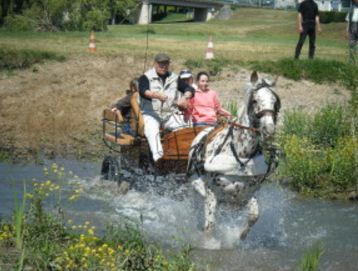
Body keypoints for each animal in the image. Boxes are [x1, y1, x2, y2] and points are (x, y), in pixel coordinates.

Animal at [186, 71, 282, 240]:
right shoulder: (212, 194)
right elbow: (210, 227)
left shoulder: (247, 194)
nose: (269, 130)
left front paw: (240, 236)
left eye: (275, 101)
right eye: (255, 100)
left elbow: (254, 216)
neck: (241, 156)